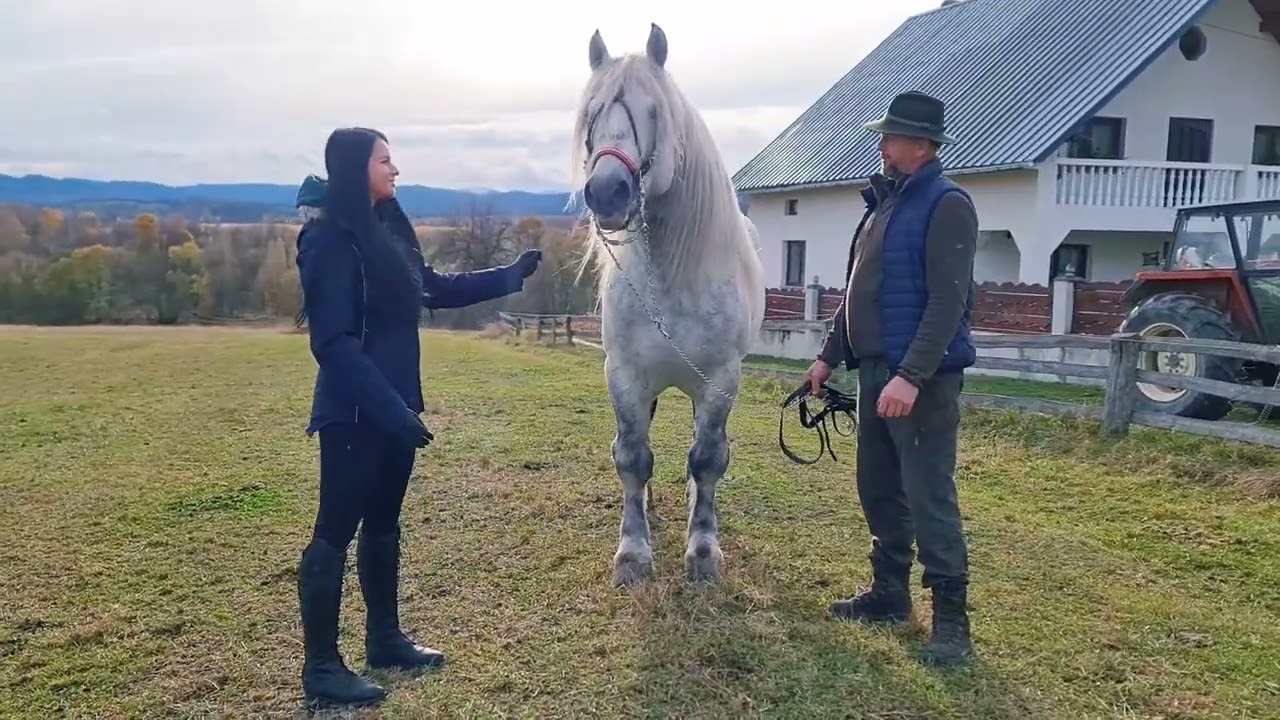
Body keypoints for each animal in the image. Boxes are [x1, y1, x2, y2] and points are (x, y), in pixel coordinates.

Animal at [569, 23, 766, 587]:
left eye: (653, 112)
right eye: (592, 115)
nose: (607, 191)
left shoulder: (721, 380)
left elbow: (708, 459)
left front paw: (702, 549)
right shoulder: (625, 376)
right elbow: (633, 457)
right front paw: (633, 552)